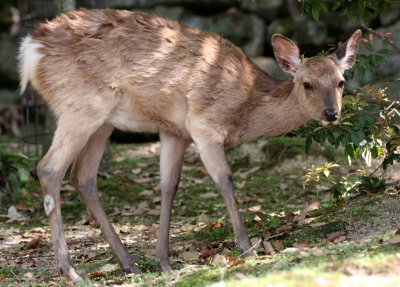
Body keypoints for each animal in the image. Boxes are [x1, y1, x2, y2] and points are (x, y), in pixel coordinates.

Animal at [18, 9, 362, 284]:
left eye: (341, 81)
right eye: (307, 84)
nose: (332, 114)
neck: (245, 107)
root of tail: (29, 51)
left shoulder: (175, 131)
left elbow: (169, 185)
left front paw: (164, 261)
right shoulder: (203, 124)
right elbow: (225, 179)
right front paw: (248, 249)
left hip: (102, 123)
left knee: (83, 177)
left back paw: (129, 264)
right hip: (80, 106)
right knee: (49, 168)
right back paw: (71, 271)